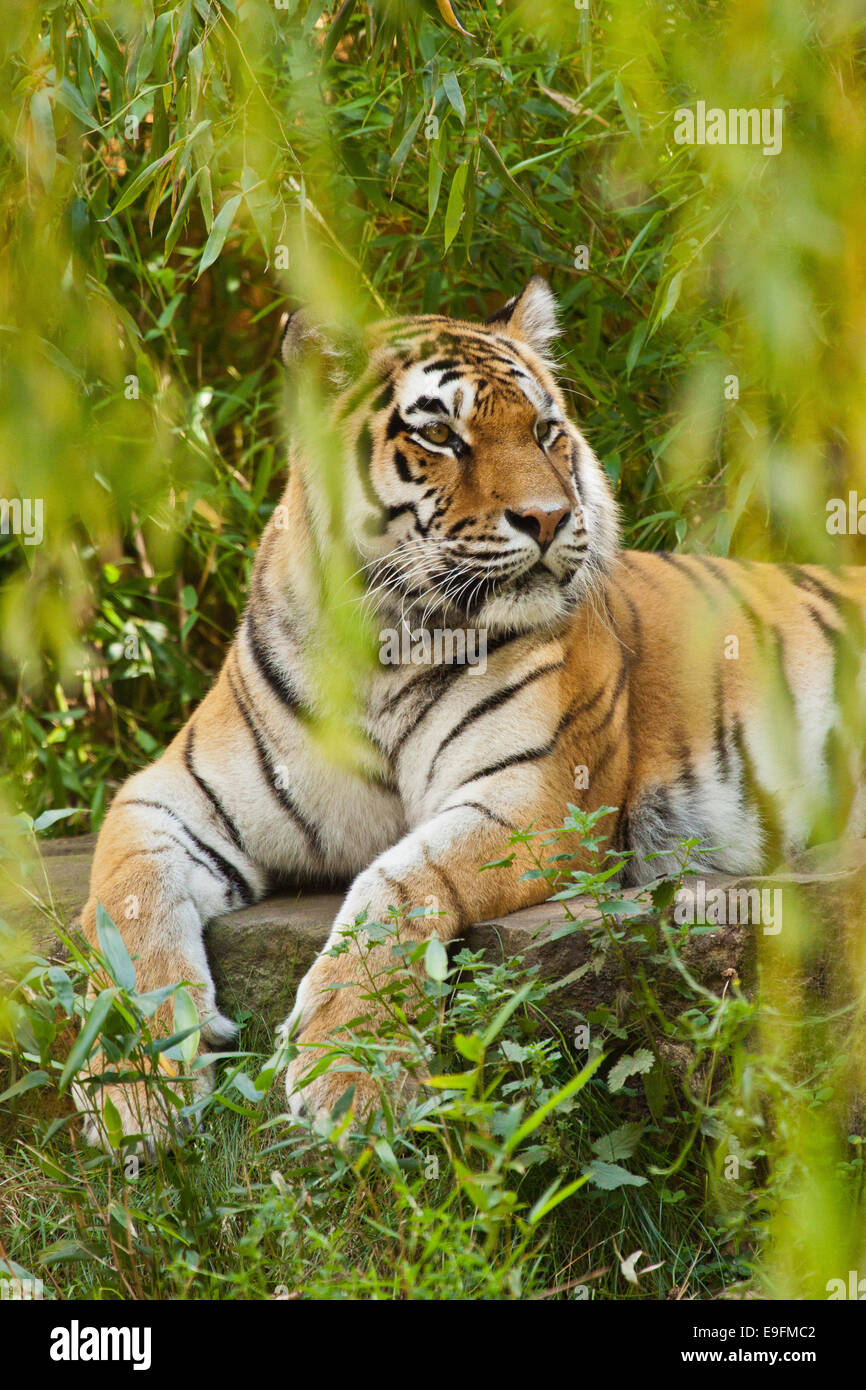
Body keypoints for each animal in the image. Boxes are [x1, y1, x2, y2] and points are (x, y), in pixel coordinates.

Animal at [76, 276, 866, 1145]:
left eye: (546, 431)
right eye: (442, 436)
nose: (548, 518)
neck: (383, 646)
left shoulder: (537, 797)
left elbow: (397, 882)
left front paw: (349, 1068)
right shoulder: (170, 794)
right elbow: (126, 908)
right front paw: (135, 1084)